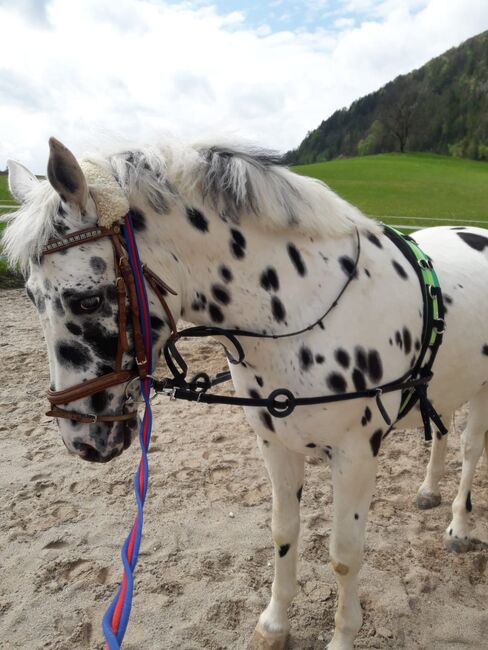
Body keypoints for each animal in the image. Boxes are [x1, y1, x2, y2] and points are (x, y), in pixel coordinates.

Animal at [3, 138, 488, 648]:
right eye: (32, 297)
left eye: (87, 300)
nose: (81, 437)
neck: (307, 306)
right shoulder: (274, 444)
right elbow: (283, 532)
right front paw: (273, 626)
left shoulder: (356, 455)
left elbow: (344, 555)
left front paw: (341, 636)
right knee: (442, 431)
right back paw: (429, 492)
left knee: (470, 450)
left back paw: (458, 526)